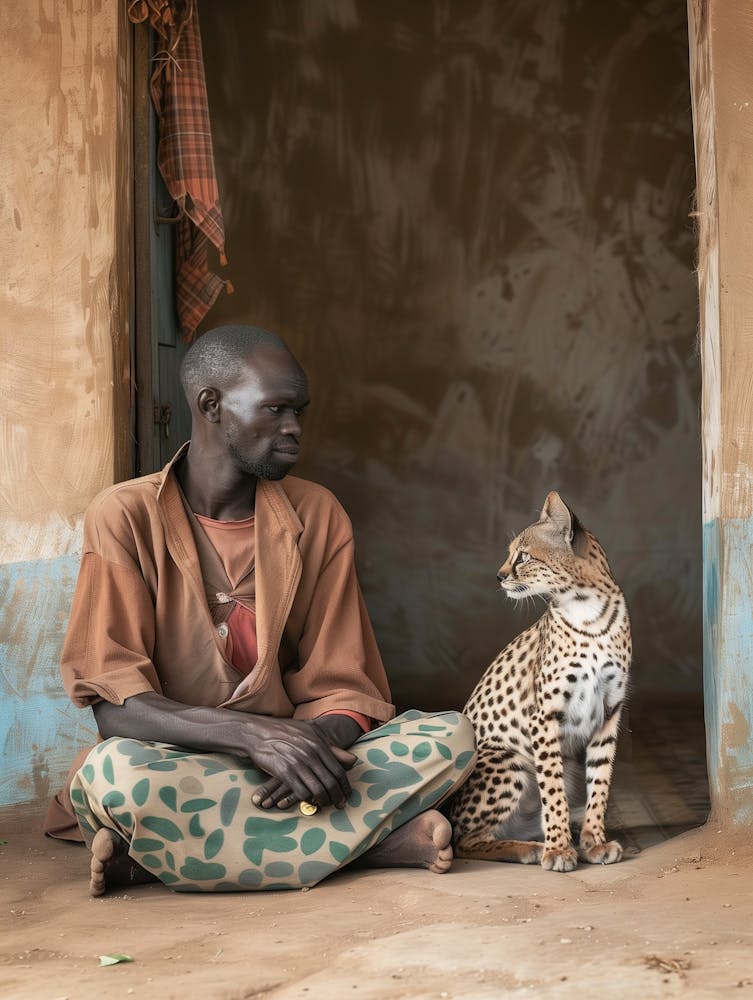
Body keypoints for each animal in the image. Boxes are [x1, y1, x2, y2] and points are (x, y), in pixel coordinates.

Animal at [449, 491, 631, 872]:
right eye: (510, 554)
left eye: (524, 556)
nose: (499, 576)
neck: (588, 609)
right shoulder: (544, 716)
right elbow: (553, 788)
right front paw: (559, 848)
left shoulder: (609, 711)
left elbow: (600, 782)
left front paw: (593, 840)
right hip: (508, 758)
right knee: (463, 840)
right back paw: (529, 848)